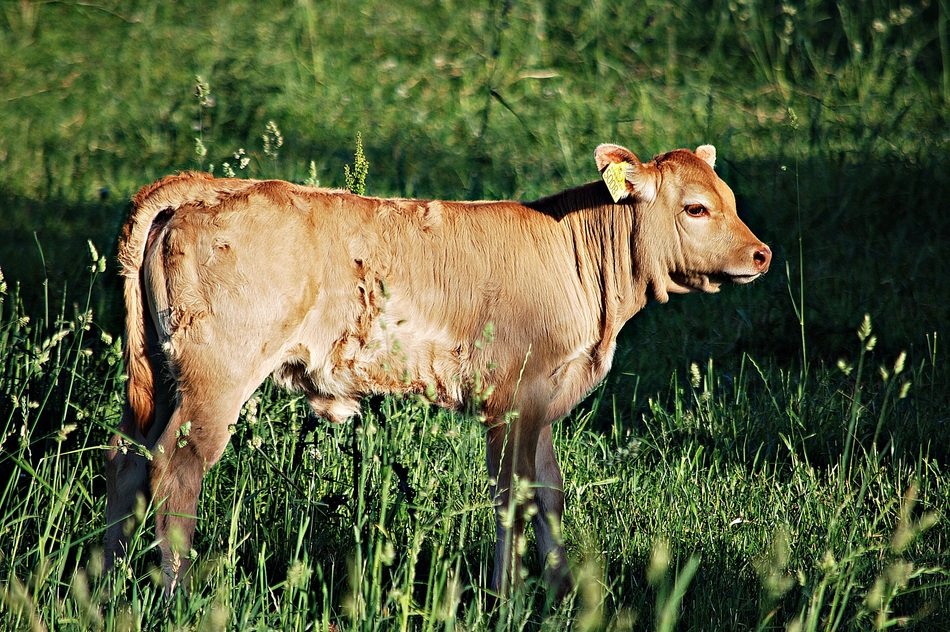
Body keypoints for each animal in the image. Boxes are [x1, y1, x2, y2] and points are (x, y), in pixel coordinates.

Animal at [104, 142, 771, 598]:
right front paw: (506, 598)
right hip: (216, 378)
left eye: (732, 201)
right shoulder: (512, 399)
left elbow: (548, 493)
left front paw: (559, 591)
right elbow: (512, 497)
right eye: (696, 208)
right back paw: (178, 593)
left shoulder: (543, 400)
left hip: (162, 375)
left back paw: (104, 582)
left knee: (125, 460)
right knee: (175, 469)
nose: (761, 253)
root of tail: (205, 189)